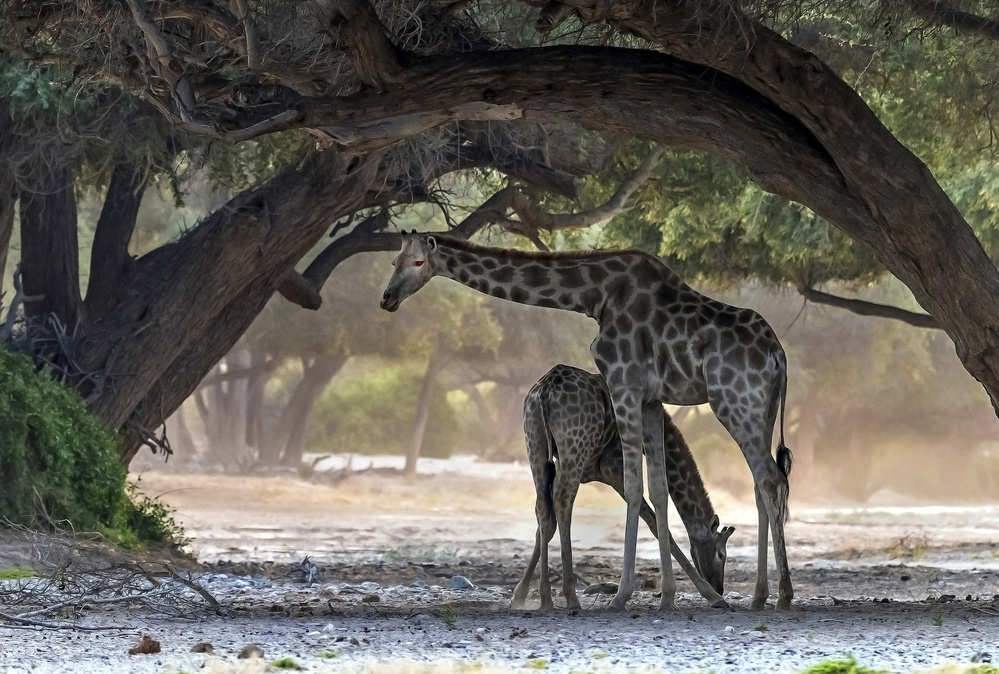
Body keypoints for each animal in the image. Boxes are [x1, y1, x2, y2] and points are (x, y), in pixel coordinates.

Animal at [511, 364, 734, 611]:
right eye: (721, 554)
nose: (719, 587)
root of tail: (545, 390)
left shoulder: (563, 465)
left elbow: (544, 526)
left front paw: (519, 595)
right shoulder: (613, 469)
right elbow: (655, 523)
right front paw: (711, 596)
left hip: (536, 446)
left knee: (544, 508)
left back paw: (546, 598)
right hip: (574, 450)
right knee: (563, 501)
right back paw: (571, 597)